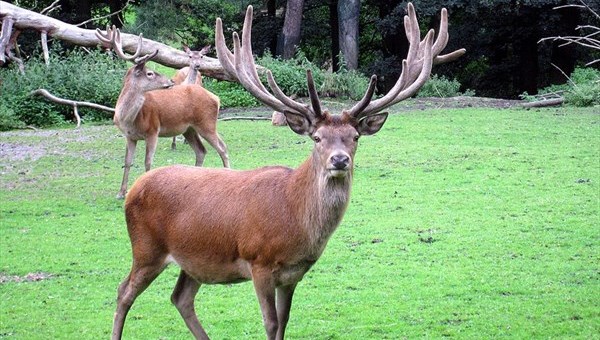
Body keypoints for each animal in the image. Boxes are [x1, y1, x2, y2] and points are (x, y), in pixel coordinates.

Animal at [96, 28, 230, 199]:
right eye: (150, 73)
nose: (170, 82)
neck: (128, 119)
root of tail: (216, 98)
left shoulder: (153, 130)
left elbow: (148, 162)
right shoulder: (130, 136)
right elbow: (127, 162)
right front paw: (120, 193)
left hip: (207, 123)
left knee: (222, 147)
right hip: (189, 129)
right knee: (201, 151)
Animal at [110, 3, 466, 340]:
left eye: (354, 137)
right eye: (317, 137)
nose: (339, 160)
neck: (294, 220)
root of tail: (136, 189)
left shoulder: (294, 275)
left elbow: (284, 323)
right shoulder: (259, 263)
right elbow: (270, 324)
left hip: (194, 260)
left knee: (180, 298)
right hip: (147, 248)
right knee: (123, 291)